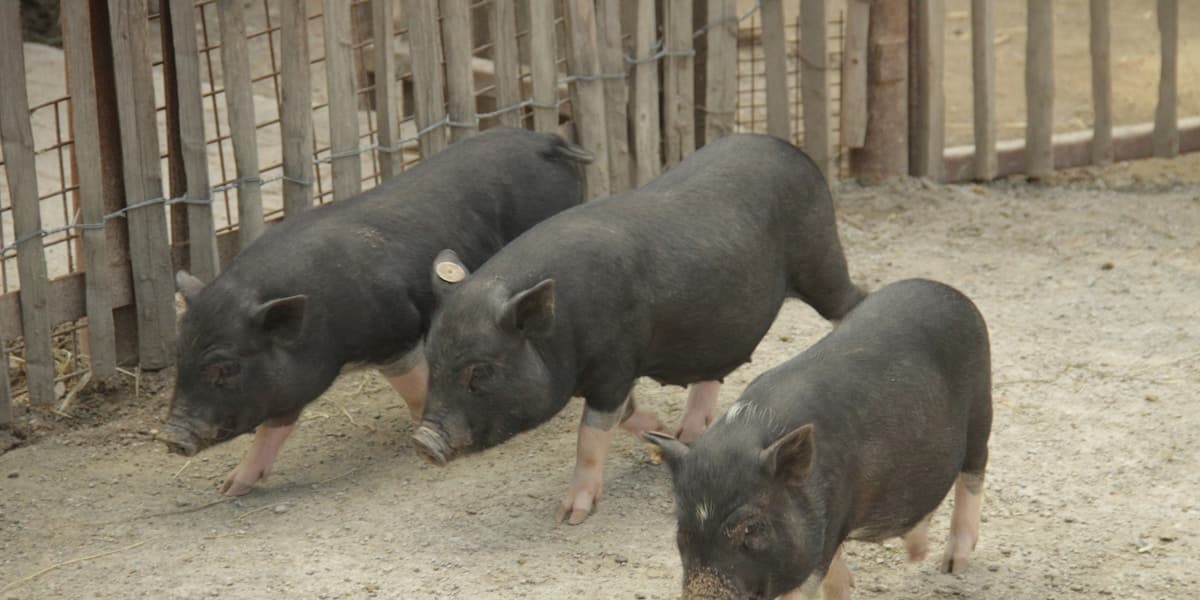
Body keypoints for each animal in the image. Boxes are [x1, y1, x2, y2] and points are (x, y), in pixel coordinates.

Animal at [162, 128, 592, 496]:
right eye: (180, 356)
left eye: (224, 367)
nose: (173, 438)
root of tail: (546, 141)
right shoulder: (294, 378)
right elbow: (275, 423)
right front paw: (231, 488)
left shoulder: (395, 332)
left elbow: (415, 384)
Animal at [413, 133, 866, 524]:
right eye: (433, 362)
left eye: (481, 370)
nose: (423, 442)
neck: (562, 327)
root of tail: (791, 149)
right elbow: (625, 415)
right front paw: (660, 429)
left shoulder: (614, 363)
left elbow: (590, 434)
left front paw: (570, 516)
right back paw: (688, 432)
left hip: (821, 258)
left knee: (850, 300)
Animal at [643, 278, 993, 600]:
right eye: (683, 532)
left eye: (751, 528)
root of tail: (948, 291)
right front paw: (847, 584)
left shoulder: (830, 522)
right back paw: (918, 555)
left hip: (980, 412)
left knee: (973, 476)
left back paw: (951, 566)